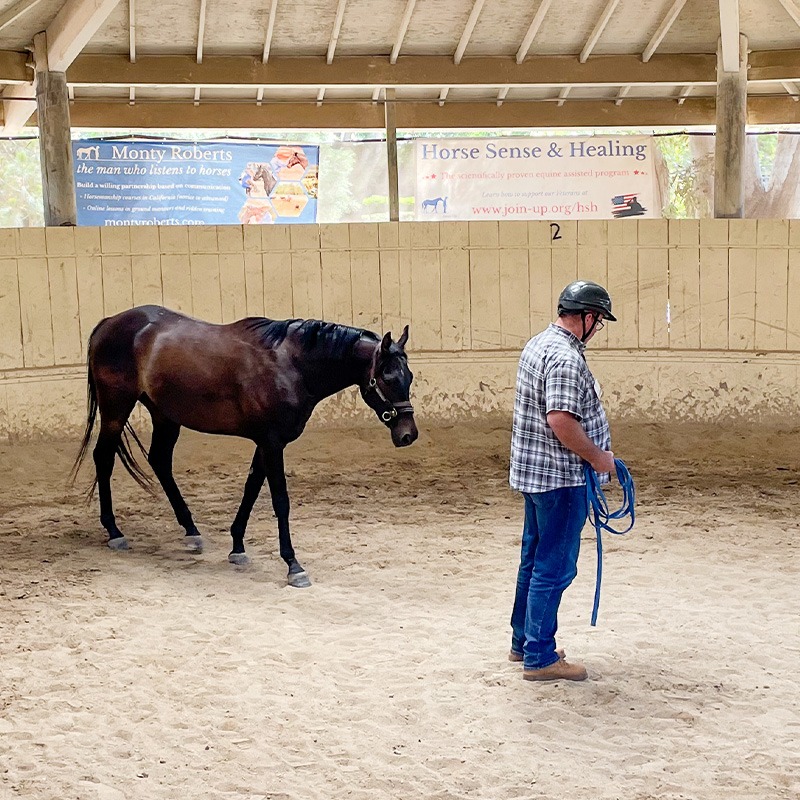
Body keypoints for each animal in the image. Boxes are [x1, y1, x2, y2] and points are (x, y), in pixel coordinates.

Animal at [71, 306, 418, 588]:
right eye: (388, 378)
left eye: (410, 377)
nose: (408, 435)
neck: (290, 364)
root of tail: (109, 323)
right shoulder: (272, 443)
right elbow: (280, 501)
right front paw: (293, 565)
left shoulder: (264, 442)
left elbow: (251, 489)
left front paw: (237, 547)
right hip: (116, 409)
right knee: (104, 458)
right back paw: (114, 532)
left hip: (165, 415)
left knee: (159, 461)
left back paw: (191, 531)